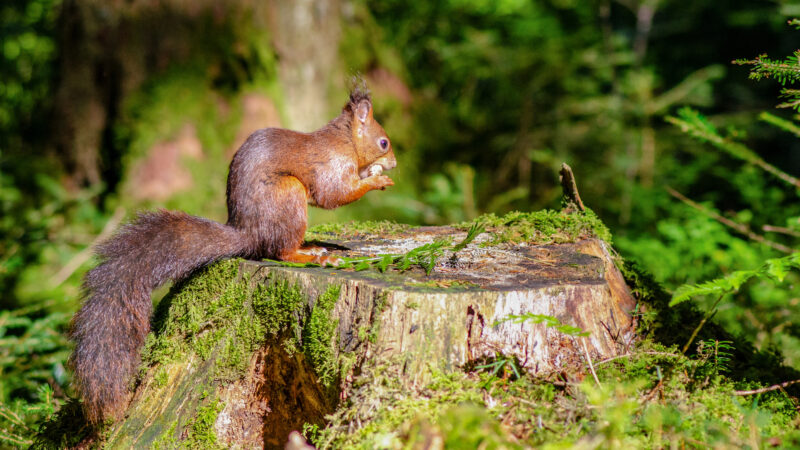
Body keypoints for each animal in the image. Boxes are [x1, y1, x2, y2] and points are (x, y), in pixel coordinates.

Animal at [68, 84, 396, 424]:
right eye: (383, 142)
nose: (394, 163)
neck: (344, 141)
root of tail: (248, 233)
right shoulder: (331, 165)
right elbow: (335, 194)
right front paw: (376, 179)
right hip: (288, 195)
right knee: (280, 251)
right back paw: (313, 254)